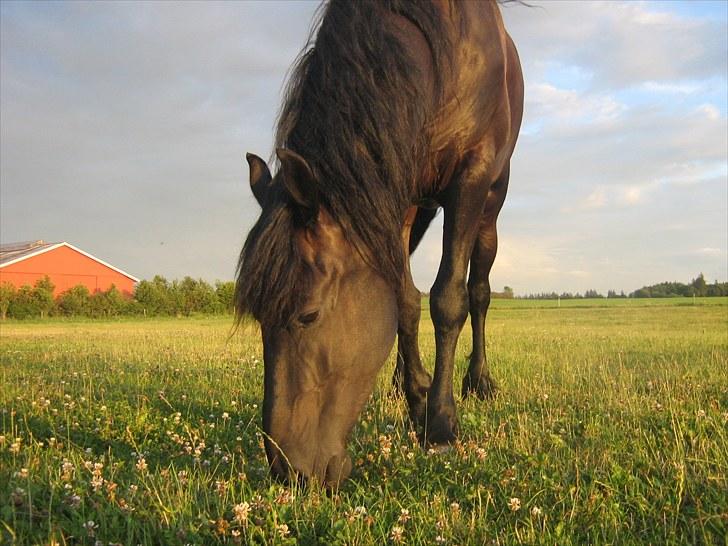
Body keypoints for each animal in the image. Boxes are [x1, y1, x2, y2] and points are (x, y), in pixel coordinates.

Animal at [237, 0, 524, 484]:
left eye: (308, 315)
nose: (289, 472)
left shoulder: (471, 177)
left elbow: (449, 298)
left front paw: (440, 423)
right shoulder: (395, 190)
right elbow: (404, 302)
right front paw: (418, 398)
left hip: (491, 204)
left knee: (480, 290)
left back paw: (478, 381)